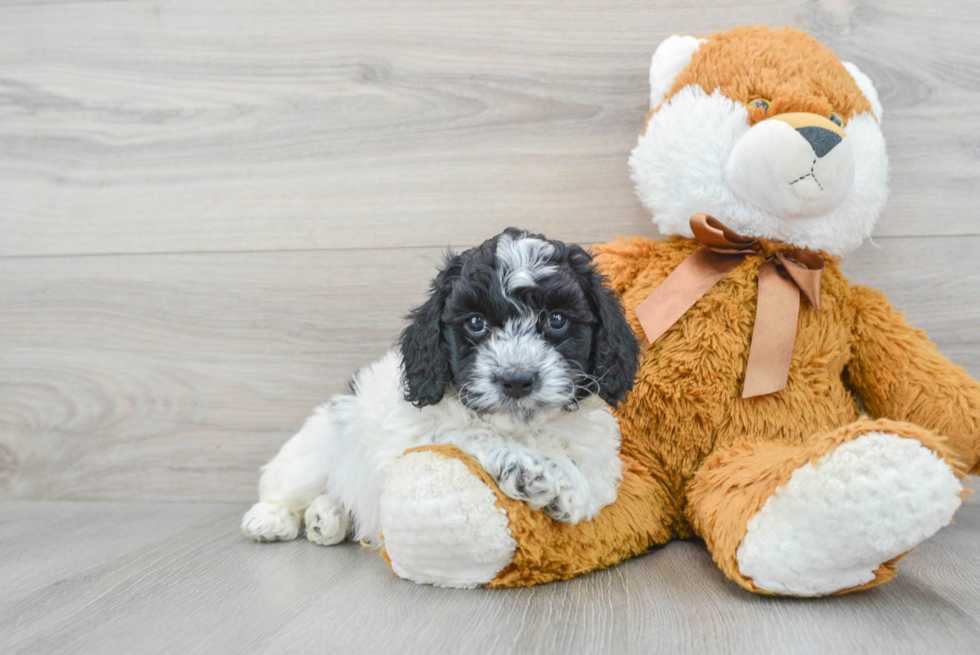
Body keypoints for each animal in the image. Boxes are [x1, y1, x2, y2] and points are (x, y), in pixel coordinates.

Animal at [241, 231, 640, 548]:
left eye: (557, 319)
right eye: (476, 323)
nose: (516, 379)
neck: (523, 428)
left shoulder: (599, 451)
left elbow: (598, 482)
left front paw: (570, 490)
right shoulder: (415, 435)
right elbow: (466, 434)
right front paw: (532, 470)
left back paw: (326, 518)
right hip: (316, 449)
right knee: (287, 485)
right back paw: (272, 519)